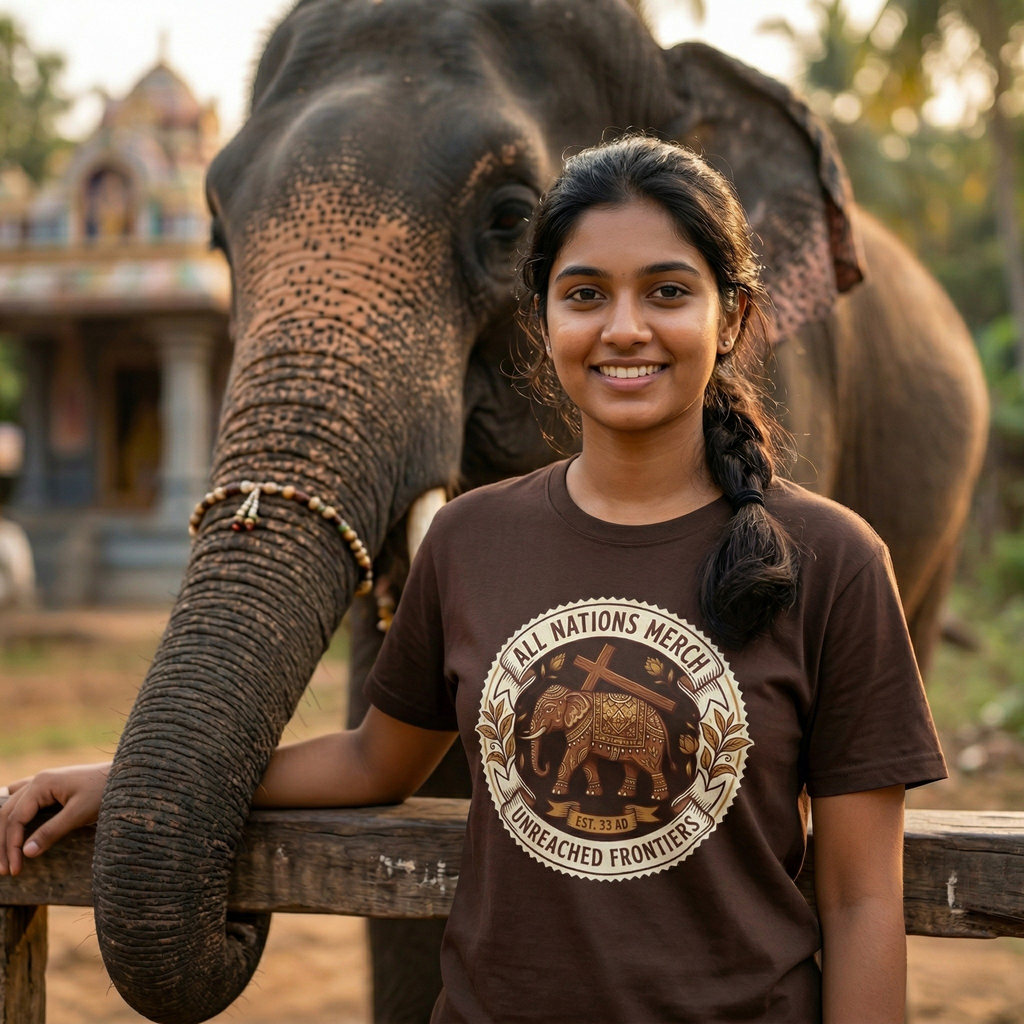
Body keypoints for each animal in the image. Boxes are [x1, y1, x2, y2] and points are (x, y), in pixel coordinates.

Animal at [524, 685, 671, 801]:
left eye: (549, 709)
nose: (546, 764)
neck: (573, 693)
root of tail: (659, 719)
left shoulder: (585, 729)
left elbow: (574, 756)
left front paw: (557, 791)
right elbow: (587, 761)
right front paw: (593, 793)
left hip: (652, 743)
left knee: (652, 766)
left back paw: (658, 797)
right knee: (631, 766)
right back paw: (624, 794)